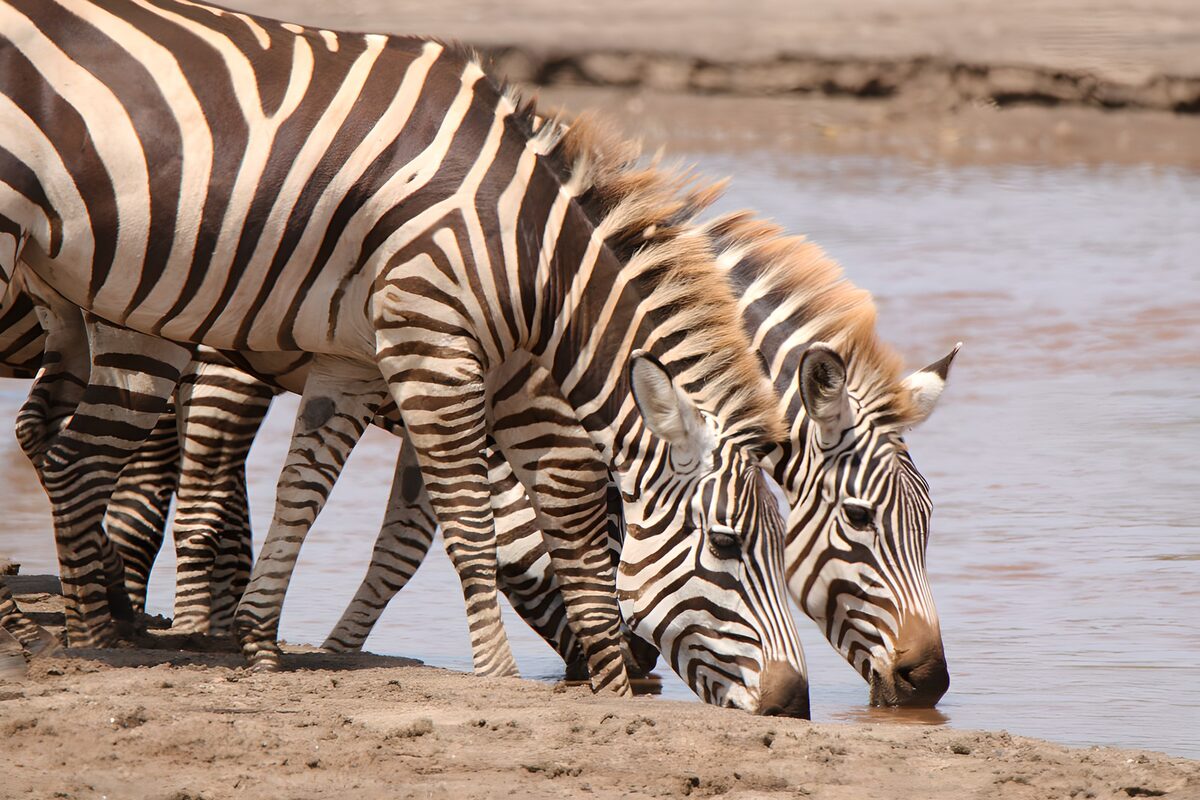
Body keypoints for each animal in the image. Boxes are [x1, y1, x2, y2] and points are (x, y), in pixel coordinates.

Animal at [0, 0, 807, 714]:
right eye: (729, 545)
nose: (793, 702)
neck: (534, 257)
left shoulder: (360, 362)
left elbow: (307, 493)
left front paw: (259, 644)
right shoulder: (433, 342)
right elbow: (473, 525)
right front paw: (500, 673)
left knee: (61, 450)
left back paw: (94, 626)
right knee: (86, 464)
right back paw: (87, 638)